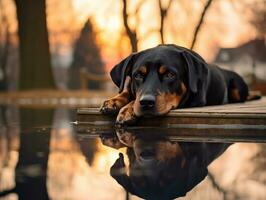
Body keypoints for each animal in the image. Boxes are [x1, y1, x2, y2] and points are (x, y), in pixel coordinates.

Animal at [100, 44, 258, 124]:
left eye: (170, 75)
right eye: (138, 75)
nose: (146, 103)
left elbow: (134, 99)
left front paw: (128, 109)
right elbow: (126, 92)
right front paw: (113, 101)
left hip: (237, 86)